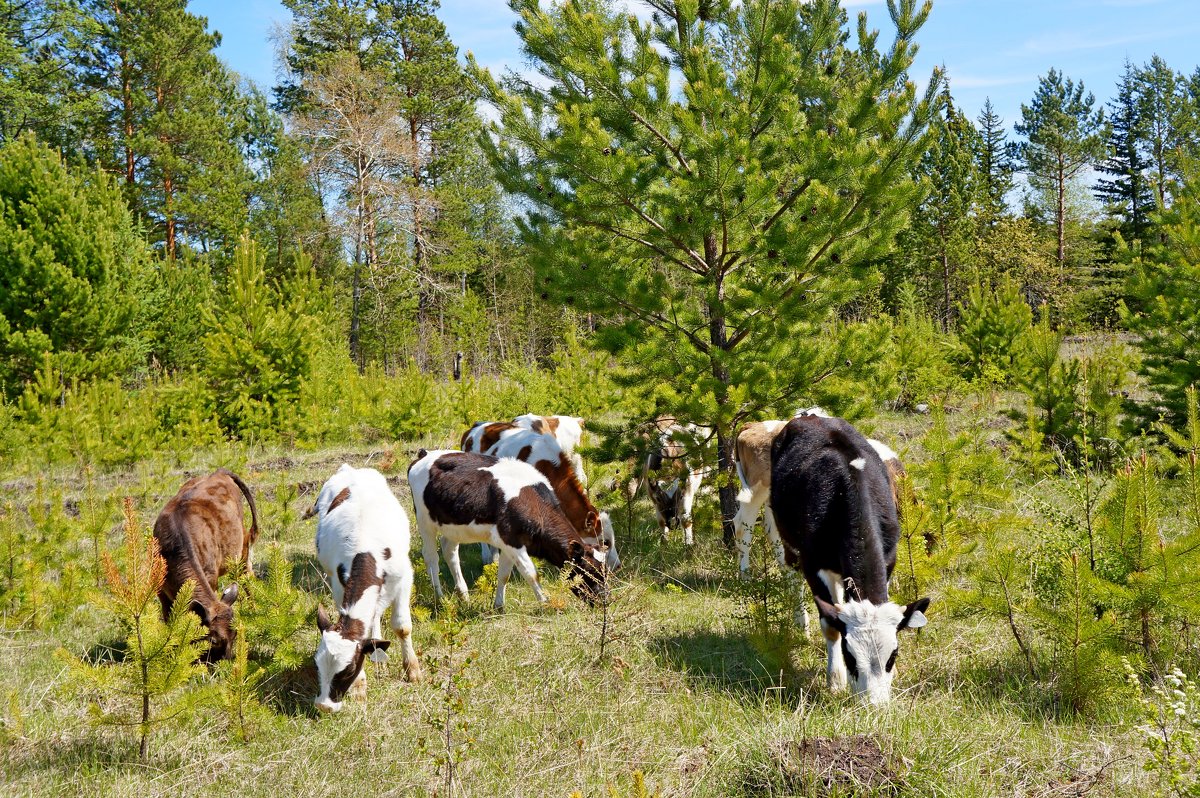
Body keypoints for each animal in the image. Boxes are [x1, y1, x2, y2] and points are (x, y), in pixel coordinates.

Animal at [152, 470, 260, 662]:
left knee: (247, 576)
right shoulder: (161, 591)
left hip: (241, 549)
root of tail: (219, 472)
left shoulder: (211, 577)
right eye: (214, 640)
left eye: (235, 636)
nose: (226, 663)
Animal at [304, 460, 422, 710]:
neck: (366, 546)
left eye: (347, 670)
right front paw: (359, 688)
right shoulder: (338, 584)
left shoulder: (405, 578)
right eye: (317, 665)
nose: (324, 706)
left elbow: (402, 627)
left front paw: (413, 671)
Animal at [408, 448, 609, 609]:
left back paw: (463, 596)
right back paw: (440, 598)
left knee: (450, 551)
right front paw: (545, 603)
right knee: (431, 557)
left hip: (454, 525)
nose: (605, 599)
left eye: (605, 571)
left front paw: (499, 606)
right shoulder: (512, 540)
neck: (533, 502)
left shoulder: (508, 543)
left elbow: (504, 574)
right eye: (590, 571)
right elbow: (531, 573)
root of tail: (425, 454)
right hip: (424, 521)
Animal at [768, 410, 926, 705]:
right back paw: (801, 623)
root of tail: (811, 415)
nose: (875, 705)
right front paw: (835, 680)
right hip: (786, 539)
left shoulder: (889, 560)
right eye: (850, 656)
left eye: (893, 656)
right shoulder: (813, 565)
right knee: (792, 575)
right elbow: (829, 624)